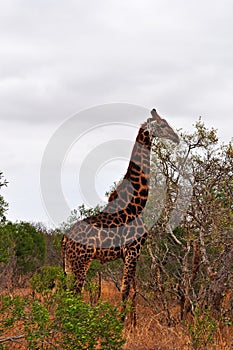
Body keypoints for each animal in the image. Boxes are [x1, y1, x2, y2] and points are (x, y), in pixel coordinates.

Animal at [61, 110, 178, 326]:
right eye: (163, 124)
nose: (176, 137)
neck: (136, 204)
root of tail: (64, 239)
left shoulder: (131, 253)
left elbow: (133, 289)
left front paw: (133, 323)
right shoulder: (133, 250)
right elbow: (125, 289)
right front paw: (122, 324)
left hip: (68, 264)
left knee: (66, 292)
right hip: (81, 261)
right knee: (75, 292)